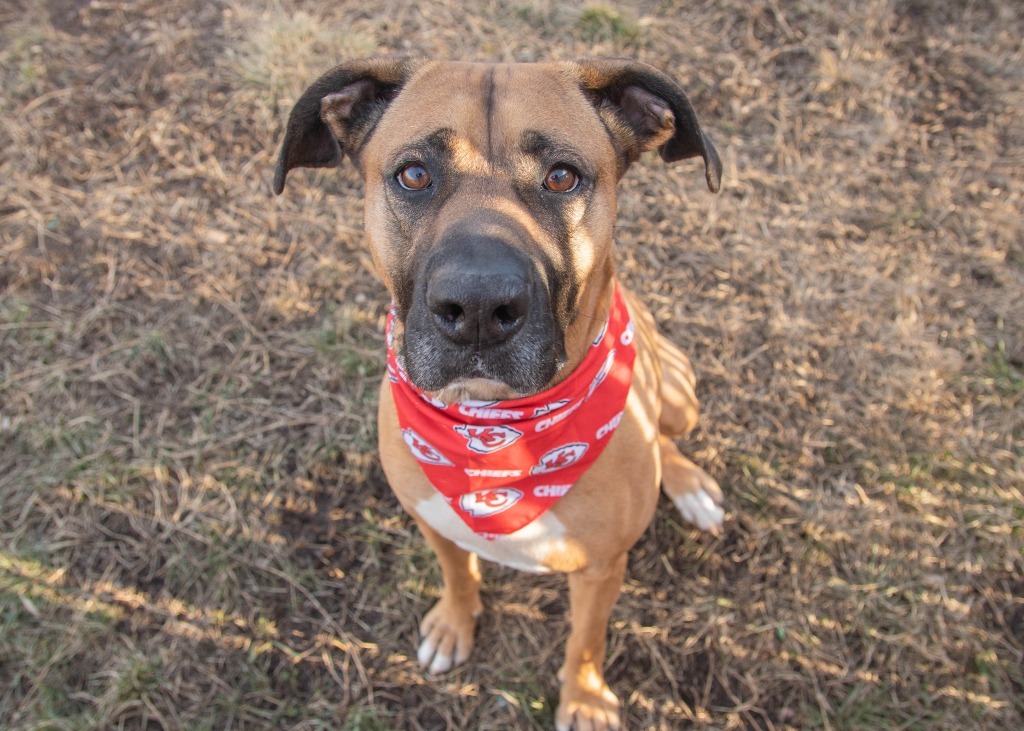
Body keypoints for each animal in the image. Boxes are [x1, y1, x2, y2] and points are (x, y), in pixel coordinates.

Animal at [272, 58, 720, 728]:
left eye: (562, 177)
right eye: (414, 174)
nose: (478, 308)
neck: (499, 436)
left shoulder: (601, 570)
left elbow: (586, 640)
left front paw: (585, 699)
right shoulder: (435, 521)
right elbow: (458, 575)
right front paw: (454, 625)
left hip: (679, 388)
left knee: (669, 439)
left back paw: (690, 486)